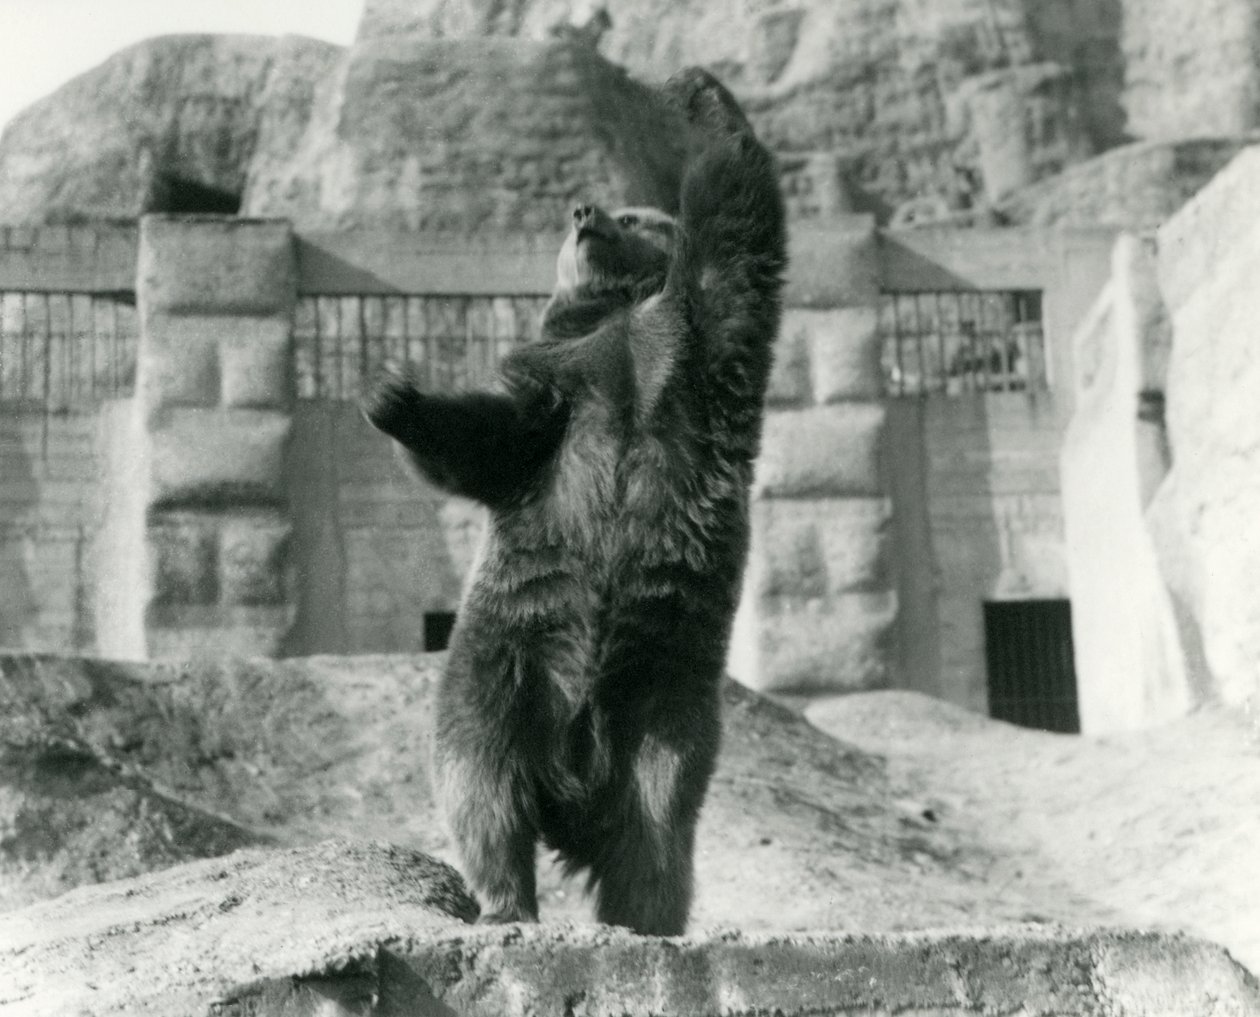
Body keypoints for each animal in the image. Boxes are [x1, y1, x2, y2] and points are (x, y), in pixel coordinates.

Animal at [360, 67, 786, 932]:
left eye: (633, 213)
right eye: (586, 216)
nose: (585, 210)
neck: (619, 315)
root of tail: (574, 776)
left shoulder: (697, 341)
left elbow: (735, 223)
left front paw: (696, 91)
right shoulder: (554, 386)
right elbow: (489, 439)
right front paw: (393, 393)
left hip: (666, 696)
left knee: (657, 819)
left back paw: (639, 915)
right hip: (502, 661)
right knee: (480, 781)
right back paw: (504, 900)